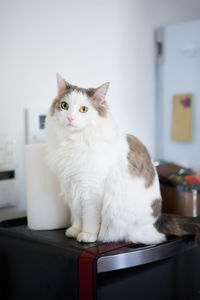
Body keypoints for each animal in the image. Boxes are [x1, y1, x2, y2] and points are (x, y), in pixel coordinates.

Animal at [45, 74, 200, 245]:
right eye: (64, 105)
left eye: (83, 109)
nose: (70, 118)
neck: (73, 141)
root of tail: (157, 220)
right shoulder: (71, 186)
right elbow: (78, 214)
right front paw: (75, 230)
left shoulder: (90, 189)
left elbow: (89, 217)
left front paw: (88, 235)